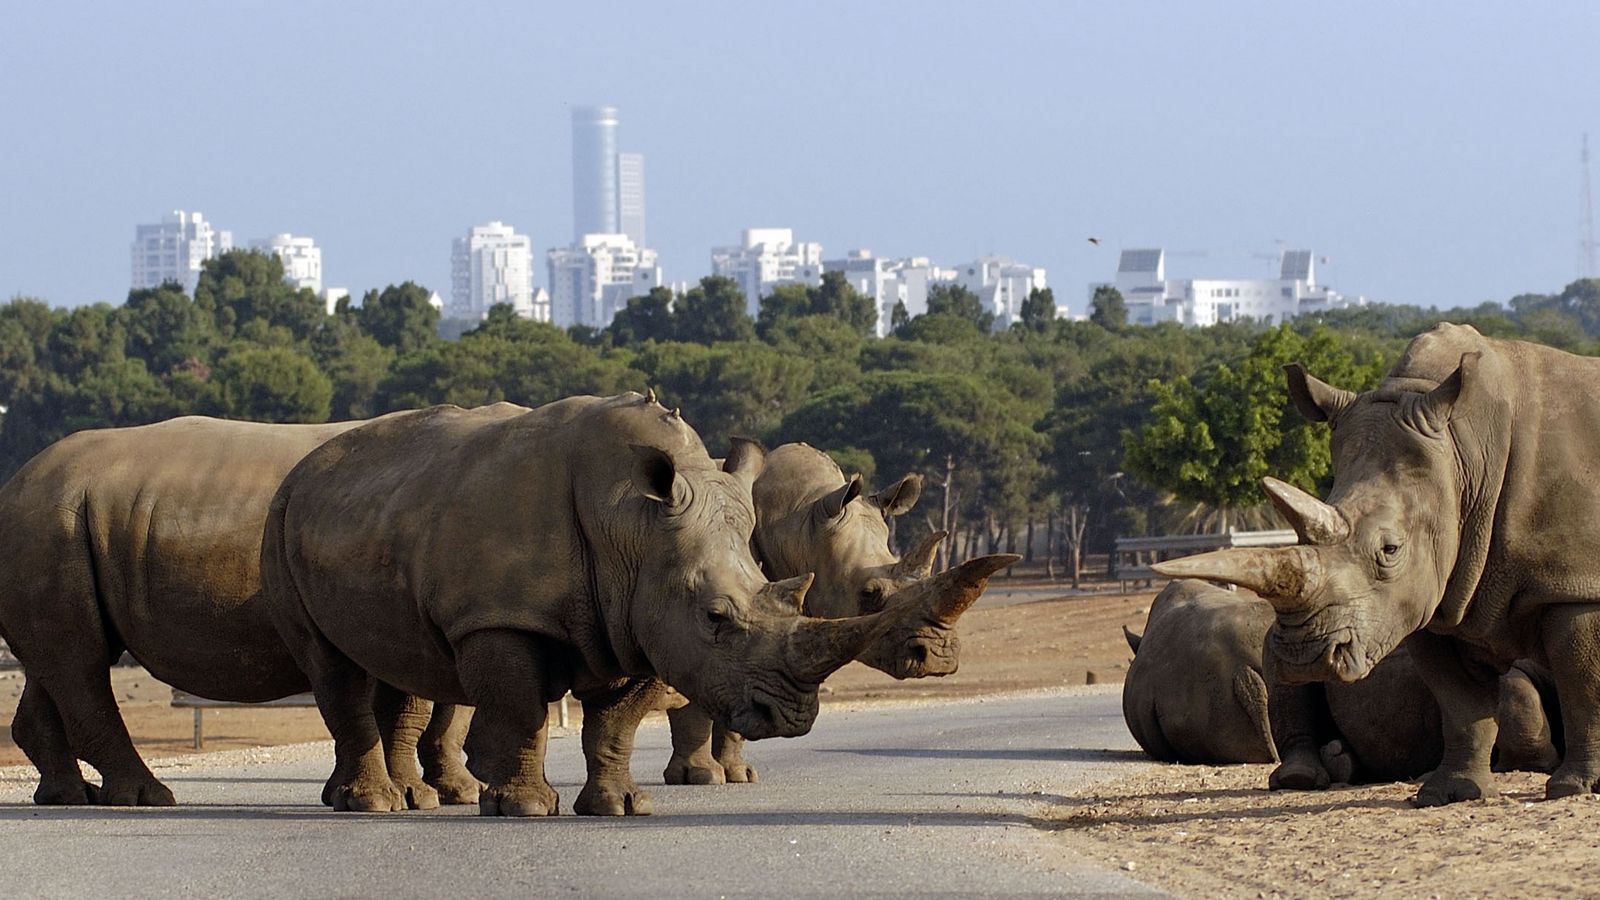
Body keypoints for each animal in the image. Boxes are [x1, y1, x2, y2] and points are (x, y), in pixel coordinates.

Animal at [0, 416, 480, 807]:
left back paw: (69, 796)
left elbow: (440, 711)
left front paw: (444, 793)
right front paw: (429, 795)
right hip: (47, 524)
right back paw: (146, 798)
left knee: (59, 663)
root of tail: (13, 483)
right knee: (81, 662)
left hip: (55, 525)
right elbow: (432, 709)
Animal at [262, 392, 966, 813]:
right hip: (282, 517)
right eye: (872, 595)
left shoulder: (643, 616)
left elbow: (620, 722)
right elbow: (523, 709)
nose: (793, 718)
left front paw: (625, 805)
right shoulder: (504, 618)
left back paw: (395, 796)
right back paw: (378, 803)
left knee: (398, 663)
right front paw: (524, 806)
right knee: (335, 668)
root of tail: (309, 463)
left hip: (364, 516)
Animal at [1158, 320, 1593, 797]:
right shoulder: (1431, 594)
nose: (1308, 655)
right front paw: (1449, 793)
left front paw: (1575, 787)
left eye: (1390, 549)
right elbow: (1460, 701)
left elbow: (1581, 682)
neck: (1466, 452)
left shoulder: (1574, 585)